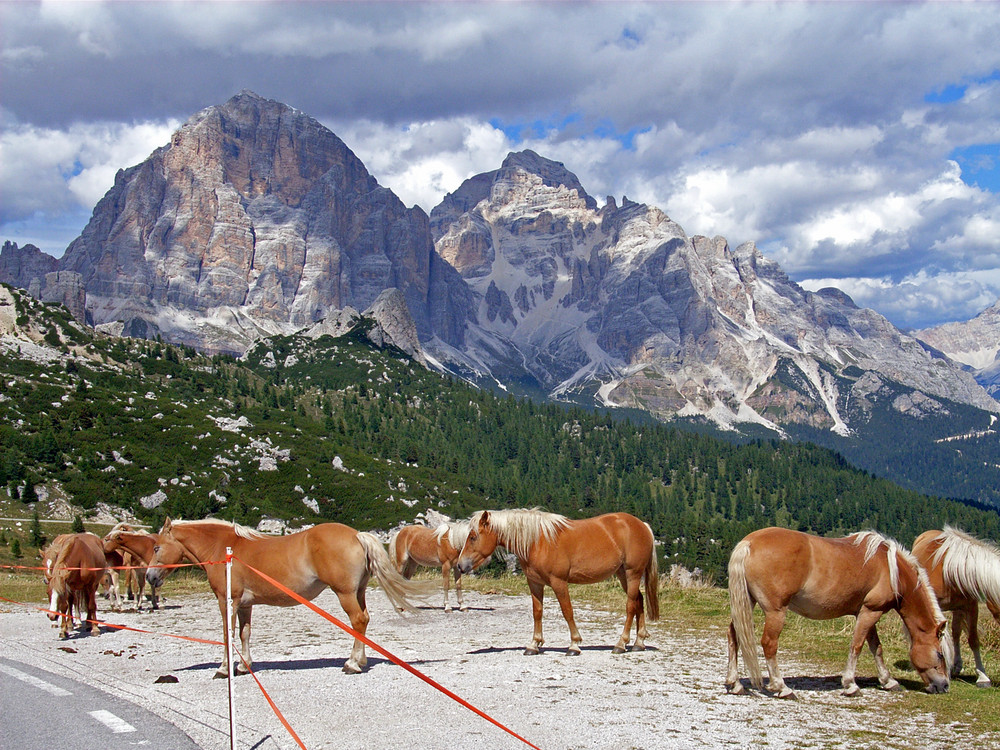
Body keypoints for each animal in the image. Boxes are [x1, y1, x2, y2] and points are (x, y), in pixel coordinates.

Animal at [146, 520, 430, 680]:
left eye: (157, 547)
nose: (150, 576)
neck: (225, 549)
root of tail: (356, 535)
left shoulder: (228, 600)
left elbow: (227, 634)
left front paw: (224, 669)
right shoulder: (245, 604)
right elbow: (245, 633)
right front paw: (244, 666)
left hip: (345, 594)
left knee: (358, 621)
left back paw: (351, 664)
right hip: (358, 592)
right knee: (365, 620)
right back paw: (360, 660)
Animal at [458, 512, 660, 656]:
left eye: (473, 537)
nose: (460, 565)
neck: (537, 542)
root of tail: (642, 525)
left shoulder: (559, 582)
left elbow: (567, 611)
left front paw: (574, 645)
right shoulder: (535, 583)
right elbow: (537, 612)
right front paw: (534, 645)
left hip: (632, 573)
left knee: (630, 605)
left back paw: (621, 643)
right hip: (622, 574)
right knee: (639, 600)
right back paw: (639, 642)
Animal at [728, 528, 952, 700]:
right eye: (940, 654)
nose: (944, 686)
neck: (893, 571)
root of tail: (749, 543)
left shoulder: (866, 612)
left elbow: (876, 648)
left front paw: (888, 681)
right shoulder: (871, 611)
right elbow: (857, 646)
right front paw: (850, 684)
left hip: (746, 602)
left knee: (734, 635)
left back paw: (735, 684)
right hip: (776, 612)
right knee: (769, 644)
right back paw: (782, 688)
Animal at [916, 528, 1000, 688]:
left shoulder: (971, 607)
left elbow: (973, 639)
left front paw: (982, 676)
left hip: (958, 609)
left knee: (956, 632)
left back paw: (957, 665)